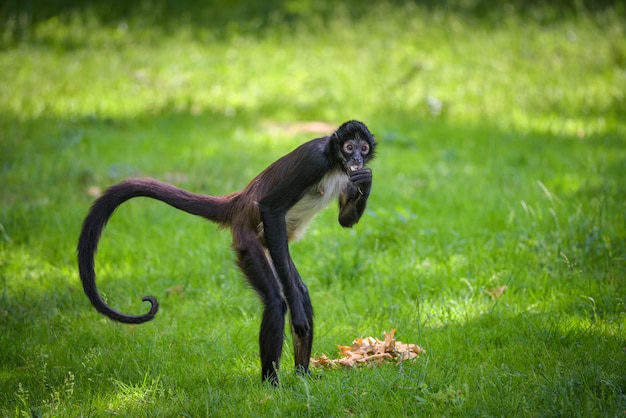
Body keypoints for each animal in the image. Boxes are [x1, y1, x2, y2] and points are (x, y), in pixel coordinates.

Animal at [75, 119, 372, 384]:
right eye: (348, 147)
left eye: (363, 148)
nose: (357, 157)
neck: (335, 163)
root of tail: (239, 202)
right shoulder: (314, 161)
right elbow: (271, 208)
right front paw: (297, 316)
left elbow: (344, 220)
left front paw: (366, 180)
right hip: (249, 240)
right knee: (276, 301)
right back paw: (271, 386)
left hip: (271, 244)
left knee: (300, 291)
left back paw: (302, 376)